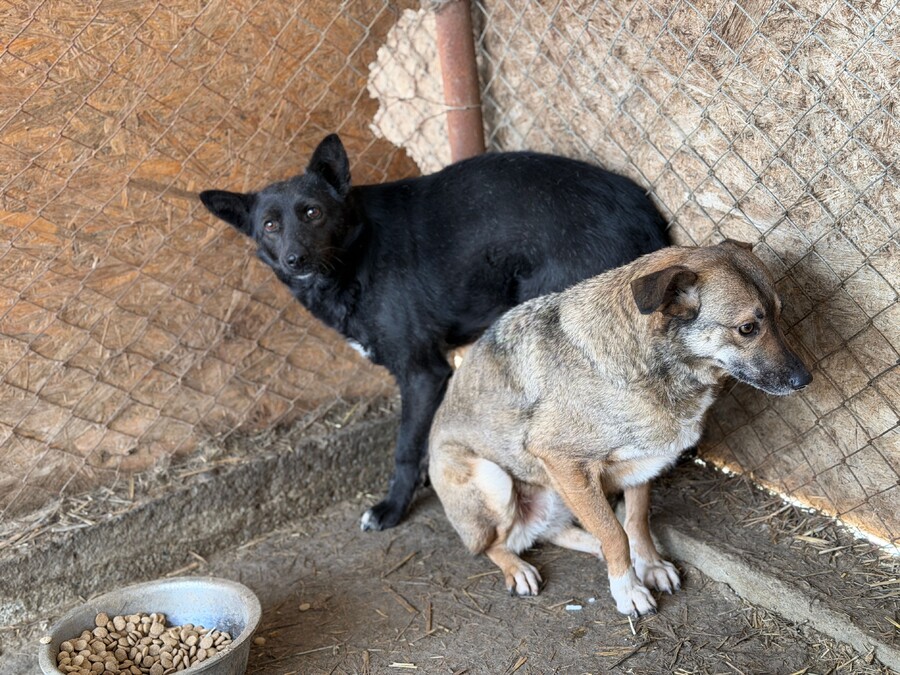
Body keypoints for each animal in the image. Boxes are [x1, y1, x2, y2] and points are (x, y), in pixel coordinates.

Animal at [199, 134, 669, 531]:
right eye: (270, 226)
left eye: (312, 212)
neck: (357, 255)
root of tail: (640, 207)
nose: (295, 259)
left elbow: (406, 447)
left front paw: (392, 507)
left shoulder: (422, 373)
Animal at [428, 240, 812, 616]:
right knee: (492, 545)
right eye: (747, 328)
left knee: (549, 532)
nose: (805, 380)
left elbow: (635, 522)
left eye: (780, 314)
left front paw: (650, 566)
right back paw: (517, 568)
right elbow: (615, 532)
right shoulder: (562, 462)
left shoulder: (640, 465)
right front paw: (627, 590)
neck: (653, 364)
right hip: (495, 478)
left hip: (556, 493)